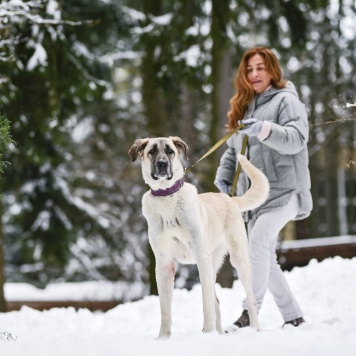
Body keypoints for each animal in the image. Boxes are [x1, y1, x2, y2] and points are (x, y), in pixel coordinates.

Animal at [129, 136, 268, 340]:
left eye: (170, 151)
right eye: (152, 151)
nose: (162, 164)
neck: (167, 198)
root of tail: (229, 199)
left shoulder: (201, 257)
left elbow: (206, 303)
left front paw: (207, 333)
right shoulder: (164, 263)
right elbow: (165, 308)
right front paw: (163, 338)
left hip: (237, 259)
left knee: (249, 298)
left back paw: (255, 330)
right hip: (213, 263)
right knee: (217, 301)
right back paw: (219, 334)